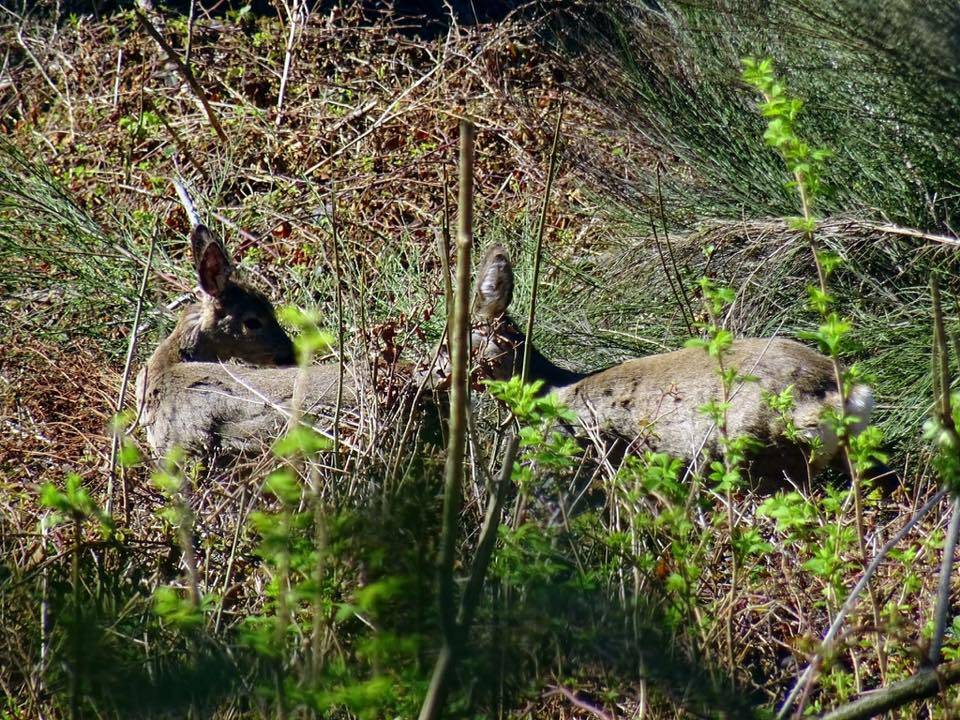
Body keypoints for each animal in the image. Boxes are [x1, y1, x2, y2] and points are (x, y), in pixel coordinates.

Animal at [432, 245, 872, 486]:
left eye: (449, 342)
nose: (431, 375)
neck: (549, 391)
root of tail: (845, 392)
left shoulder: (572, 451)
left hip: (763, 448)